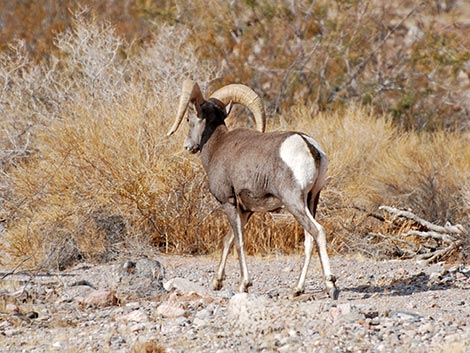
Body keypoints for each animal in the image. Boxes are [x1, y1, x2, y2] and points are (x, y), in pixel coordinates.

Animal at [168, 79, 338, 296]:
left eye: (189, 119)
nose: (188, 146)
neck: (217, 146)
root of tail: (309, 147)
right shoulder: (246, 210)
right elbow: (228, 240)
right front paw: (216, 282)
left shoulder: (229, 202)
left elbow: (239, 242)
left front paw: (244, 284)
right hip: (312, 200)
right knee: (309, 239)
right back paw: (297, 289)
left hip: (294, 202)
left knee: (318, 232)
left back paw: (330, 285)